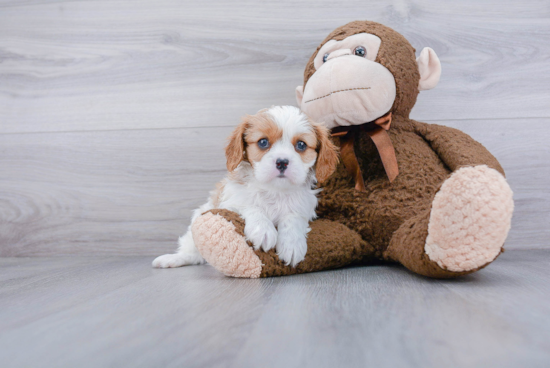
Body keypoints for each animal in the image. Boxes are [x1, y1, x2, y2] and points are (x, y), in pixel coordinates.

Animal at [153, 105, 338, 268]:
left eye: (301, 145)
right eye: (263, 142)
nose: (282, 162)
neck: (275, 190)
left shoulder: (304, 206)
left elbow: (293, 217)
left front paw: (292, 244)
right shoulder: (230, 201)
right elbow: (250, 205)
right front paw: (263, 230)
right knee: (193, 253)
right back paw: (172, 259)